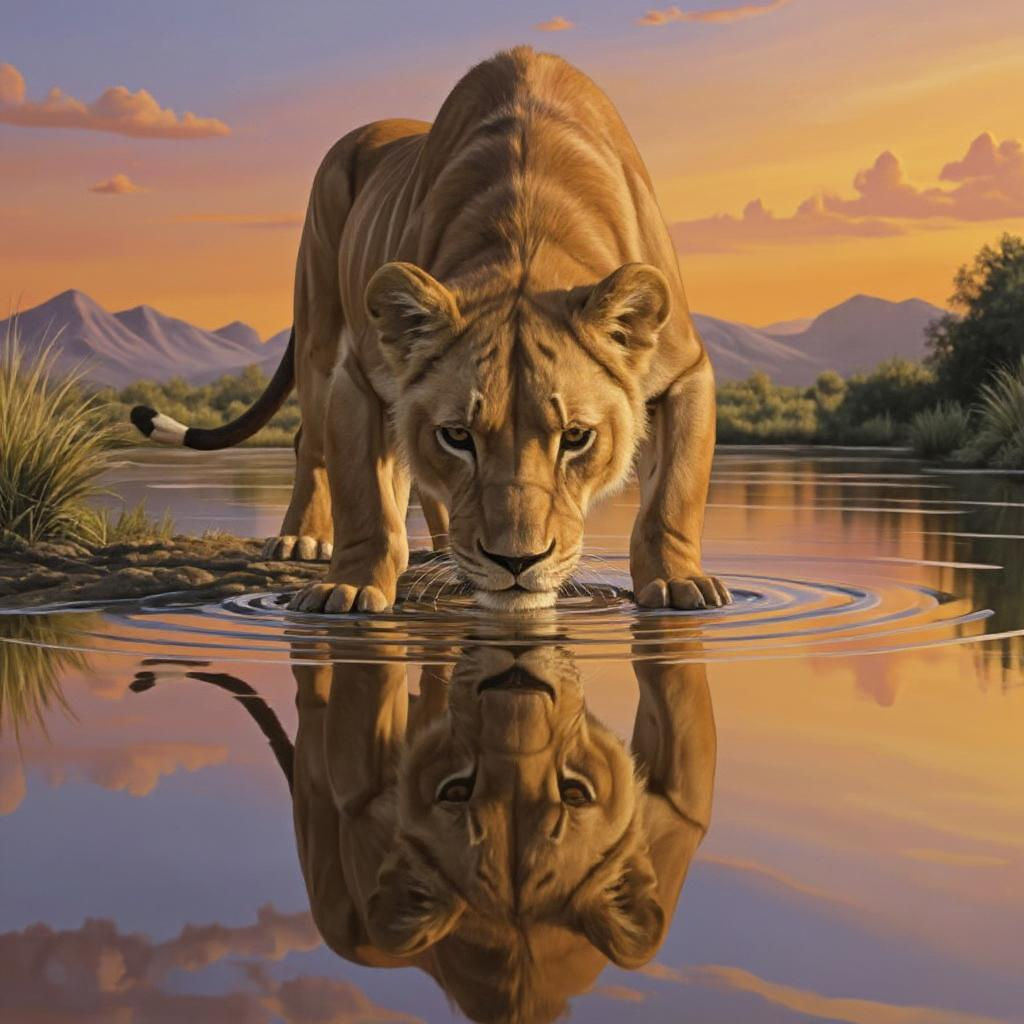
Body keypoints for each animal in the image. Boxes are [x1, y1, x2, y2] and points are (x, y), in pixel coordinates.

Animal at [130, 46, 730, 613]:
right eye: (458, 436)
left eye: (577, 438)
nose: (517, 562)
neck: (527, 231)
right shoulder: (360, 377)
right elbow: (364, 498)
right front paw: (349, 588)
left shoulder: (686, 371)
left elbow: (675, 494)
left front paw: (678, 582)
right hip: (319, 327)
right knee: (311, 444)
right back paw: (304, 539)